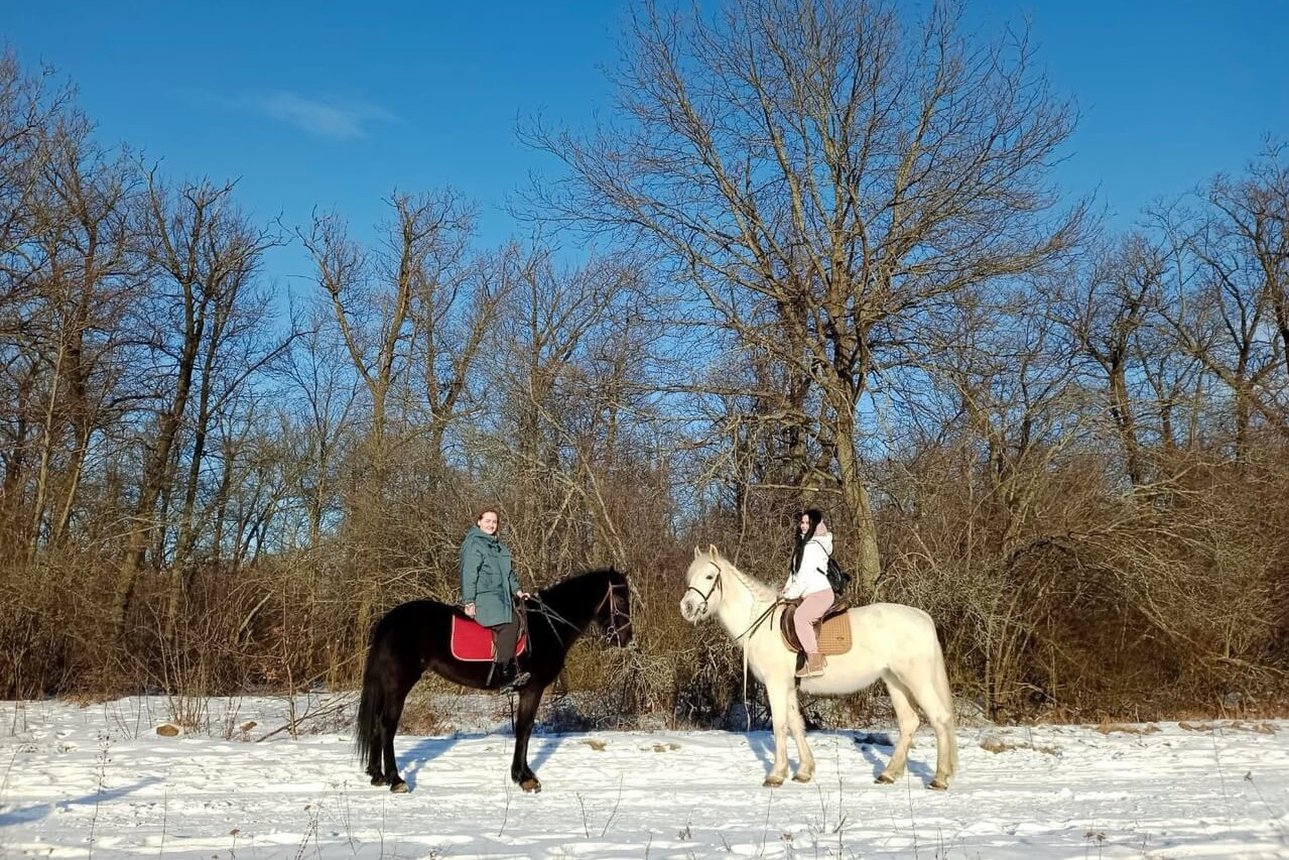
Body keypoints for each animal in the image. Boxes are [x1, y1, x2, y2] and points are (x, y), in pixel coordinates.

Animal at [355, 564, 631, 794]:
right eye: (619, 598)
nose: (626, 638)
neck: (547, 624)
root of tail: (388, 621)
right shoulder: (532, 688)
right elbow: (524, 728)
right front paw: (524, 777)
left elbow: (523, 728)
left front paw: (524, 774)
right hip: (398, 684)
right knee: (387, 725)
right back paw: (396, 780)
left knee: (377, 723)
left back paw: (377, 775)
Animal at [685, 549, 959, 789]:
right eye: (690, 576)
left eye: (709, 576)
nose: (686, 607)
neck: (762, 625)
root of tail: (922, 617)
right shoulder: (788, 687)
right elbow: (796, 725)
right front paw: (804, 771)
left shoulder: (775, 685)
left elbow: (780, 726)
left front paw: (776, 775)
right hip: (895, 682)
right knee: (909, 722)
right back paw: (889, 774)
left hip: (917, 680)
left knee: (940, 718)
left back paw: (939, 778)